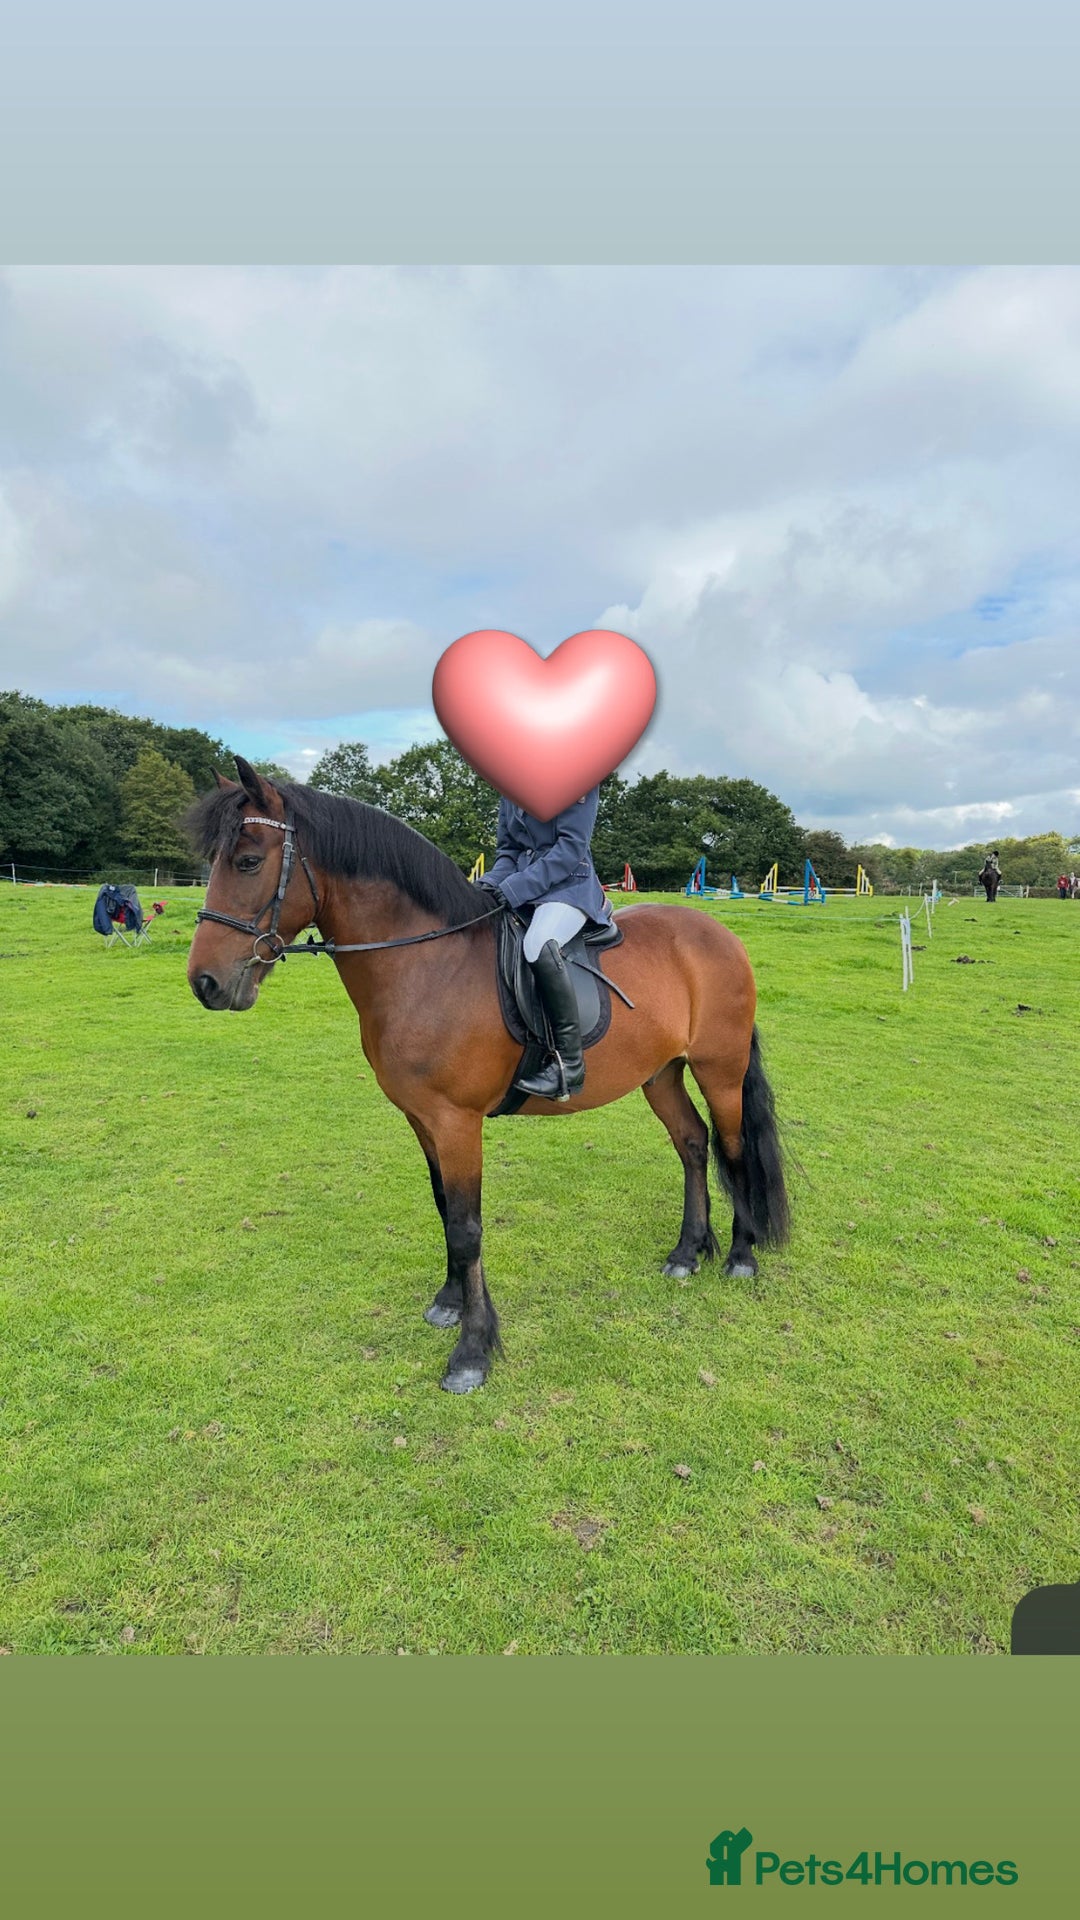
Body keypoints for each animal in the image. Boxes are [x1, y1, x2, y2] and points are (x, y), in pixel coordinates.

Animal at [185, 759, 789, 1394]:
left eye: (248, 862)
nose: (205, 983)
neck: (428, 964)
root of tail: (719, 935)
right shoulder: (421, 1117)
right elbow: (443, 1207)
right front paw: (449, 1303)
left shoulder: (457, 1121)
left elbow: (468, 1226)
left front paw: (472, 1351)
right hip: (662, 1074)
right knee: (693, 1144)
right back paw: (686, 1253)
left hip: (720, 1068)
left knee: (733, 1148)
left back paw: (741, 1257)